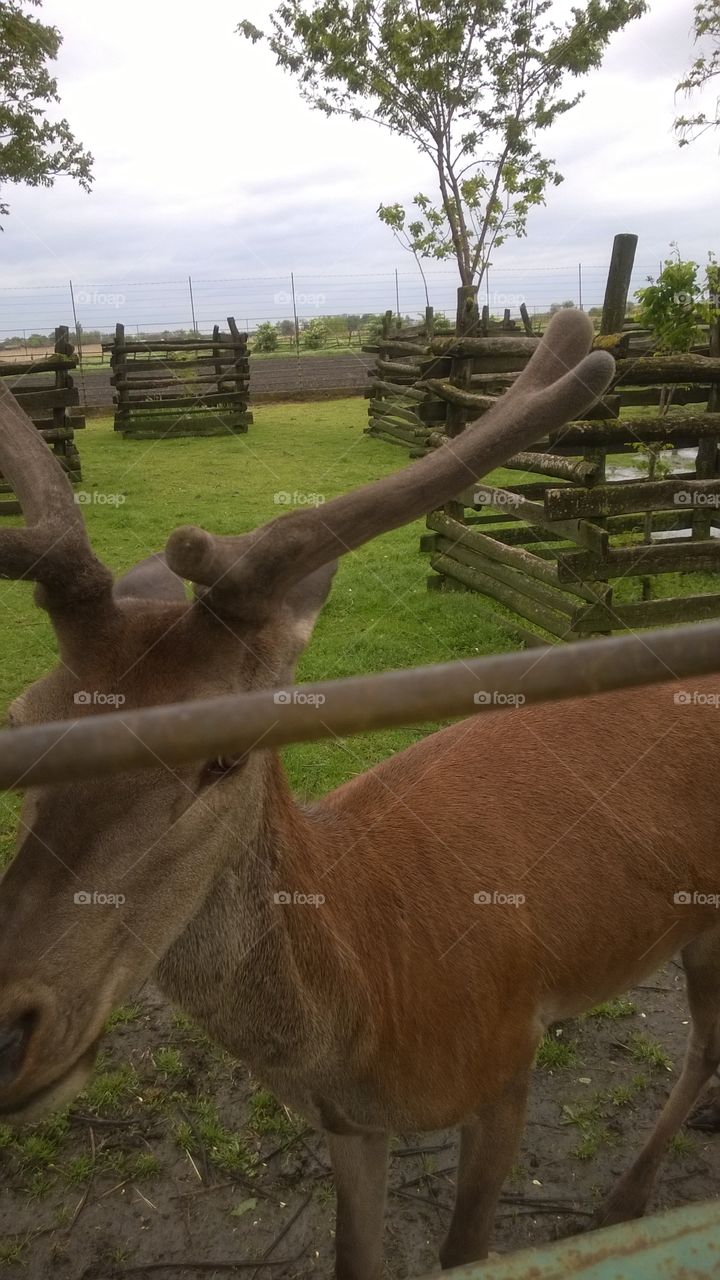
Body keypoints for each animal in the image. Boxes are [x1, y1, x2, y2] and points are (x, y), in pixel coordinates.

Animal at [0, 309, 717, 1277]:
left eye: (225, 755)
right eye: (22, 716)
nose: (5, 1030)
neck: (377, 1001)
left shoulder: (508, 1060)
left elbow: (465, 1246)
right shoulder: (347, 1126)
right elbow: (354, 1255)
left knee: (705, 1045)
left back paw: (626, 1200)